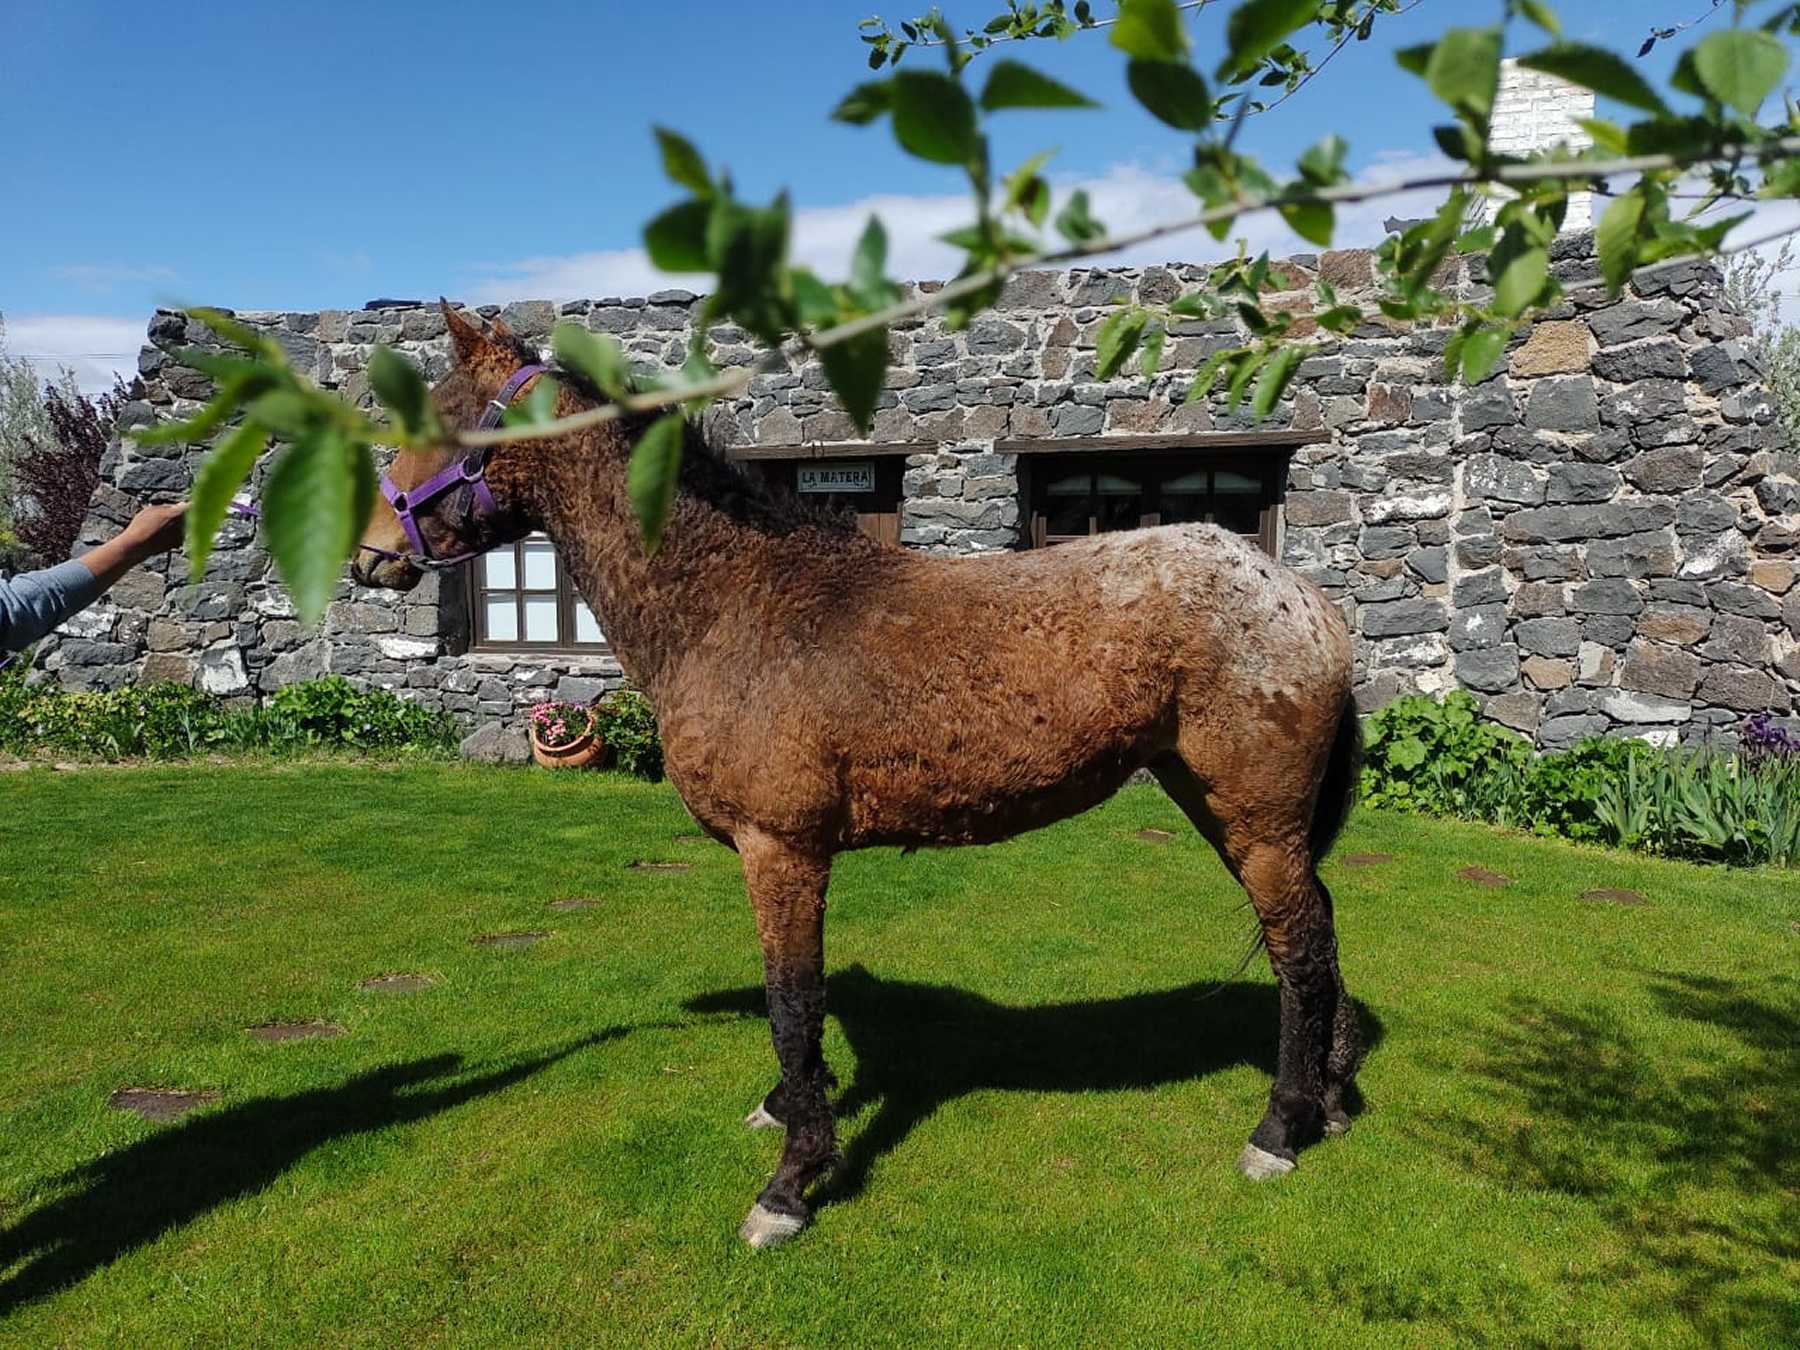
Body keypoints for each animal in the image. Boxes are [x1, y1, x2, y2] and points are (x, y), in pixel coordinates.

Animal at [351, 300, 1360, 1252]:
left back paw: (1279, 1130)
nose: (370, 555)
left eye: (443, 419)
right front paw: (790, 1111)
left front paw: (792, 1183)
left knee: (1301, 946)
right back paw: (1332, 1095)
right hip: (1220, 807)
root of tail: (1297, 596)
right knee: (1315, 929)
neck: (738, 602)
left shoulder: (781, 851)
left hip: (1255, 819)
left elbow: (792, 1001)